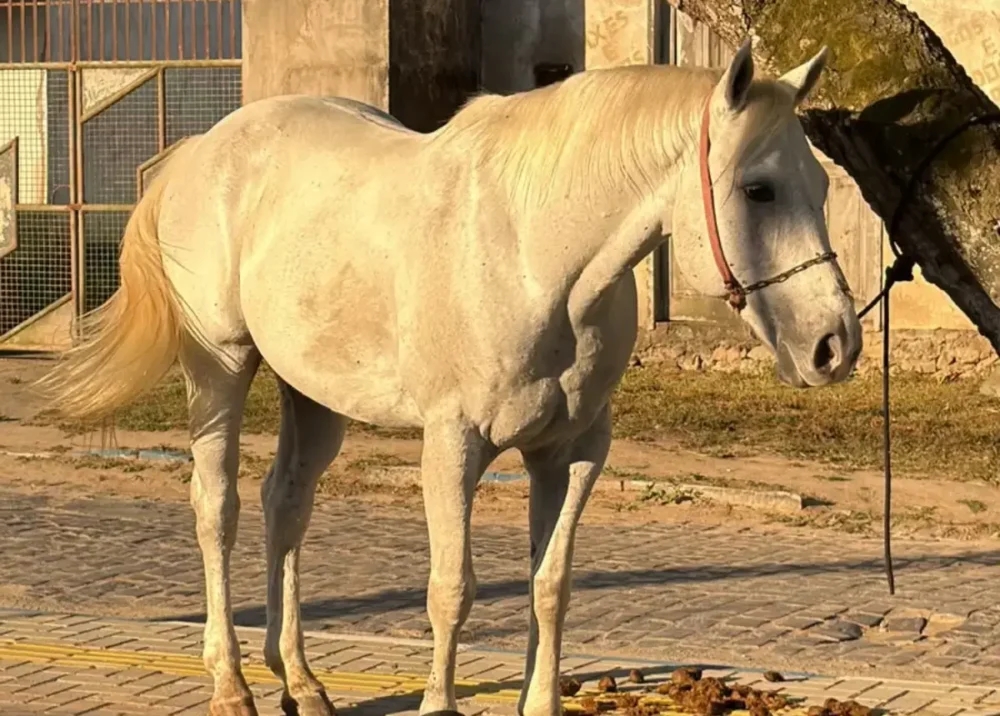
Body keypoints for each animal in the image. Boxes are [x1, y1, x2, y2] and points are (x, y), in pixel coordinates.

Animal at [41, 38, 861, 716]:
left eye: (820, 187)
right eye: (757, 189)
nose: (835, 345)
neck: (534, 254)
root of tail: (201, 150)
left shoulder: (573, 453)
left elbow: (550, 587)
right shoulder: (452, 446)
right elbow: (452, 589)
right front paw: (438, 703)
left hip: (314, 395)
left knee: (286, 506)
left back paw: (302, 683)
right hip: (220, 369)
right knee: (218, 509)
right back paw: (232, 684)